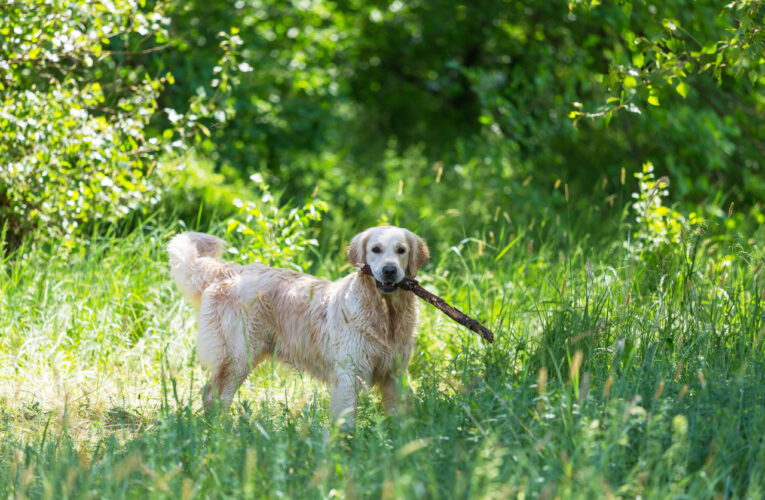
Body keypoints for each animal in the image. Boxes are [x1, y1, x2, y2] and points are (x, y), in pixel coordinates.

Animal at [167, 227, 426, 426]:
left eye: (401, 250)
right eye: (376, 249)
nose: (390, 270)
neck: (385, 316)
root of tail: (230, 271)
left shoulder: (395, 374)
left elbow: (397, 415)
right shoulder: (348, 374)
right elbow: (345, 422)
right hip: (238, 356)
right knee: (214, 395)